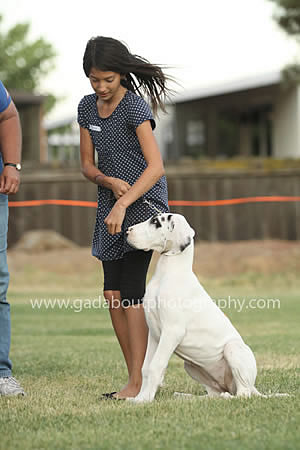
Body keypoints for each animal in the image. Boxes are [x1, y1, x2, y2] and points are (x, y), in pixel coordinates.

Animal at [126, 213, 262, 402]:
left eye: (156, 222)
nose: (127, 231)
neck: (166, 273)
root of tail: (253, 387)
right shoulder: (154, 334)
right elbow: (145, 368)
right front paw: (139, 398)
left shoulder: (172, 331)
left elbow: (156, 366)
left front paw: (145, 400)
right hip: (190, 365)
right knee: (213, 394)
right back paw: (187, 397)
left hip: (233, 349)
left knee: (243, 394)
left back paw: (228, 396)